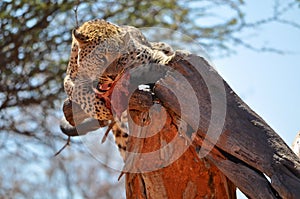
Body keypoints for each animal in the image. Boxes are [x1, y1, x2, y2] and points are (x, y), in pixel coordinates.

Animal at [64, 18, 175, 159]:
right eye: (101, 57)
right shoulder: (69, 78)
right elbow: (79, 93)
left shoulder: (146, 53)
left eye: (121, 58)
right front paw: (101, 110)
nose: (113, 76)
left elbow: (160, 59)